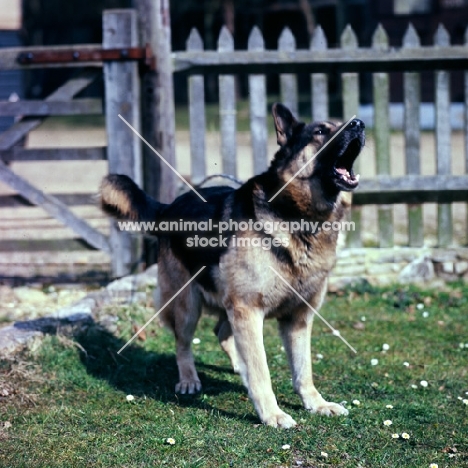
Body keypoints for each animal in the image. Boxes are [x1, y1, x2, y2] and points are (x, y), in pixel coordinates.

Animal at [100, 103, 366, 428]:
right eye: (319, 131)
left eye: (343, 122)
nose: (359, 123)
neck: (299, 217)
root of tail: (169, 206)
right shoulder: (248, 309)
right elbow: (262, 371)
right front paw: (272, 414)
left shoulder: (298, 318)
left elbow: (304, 371)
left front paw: (316, 404)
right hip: (189, 305)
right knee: (182, 343)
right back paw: (189, 379)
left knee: (221, 333)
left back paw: (239, 367)